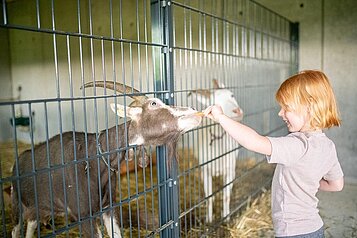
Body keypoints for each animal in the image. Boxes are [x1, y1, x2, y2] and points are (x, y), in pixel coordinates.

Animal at [189, 80, 242, 223]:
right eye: (214, 102)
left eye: (232, 95)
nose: (237, 111)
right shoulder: (205, 171)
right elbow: (209, 198)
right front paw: (208, 220)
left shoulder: (230, 170)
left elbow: (226, 196)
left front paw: (226, 218)